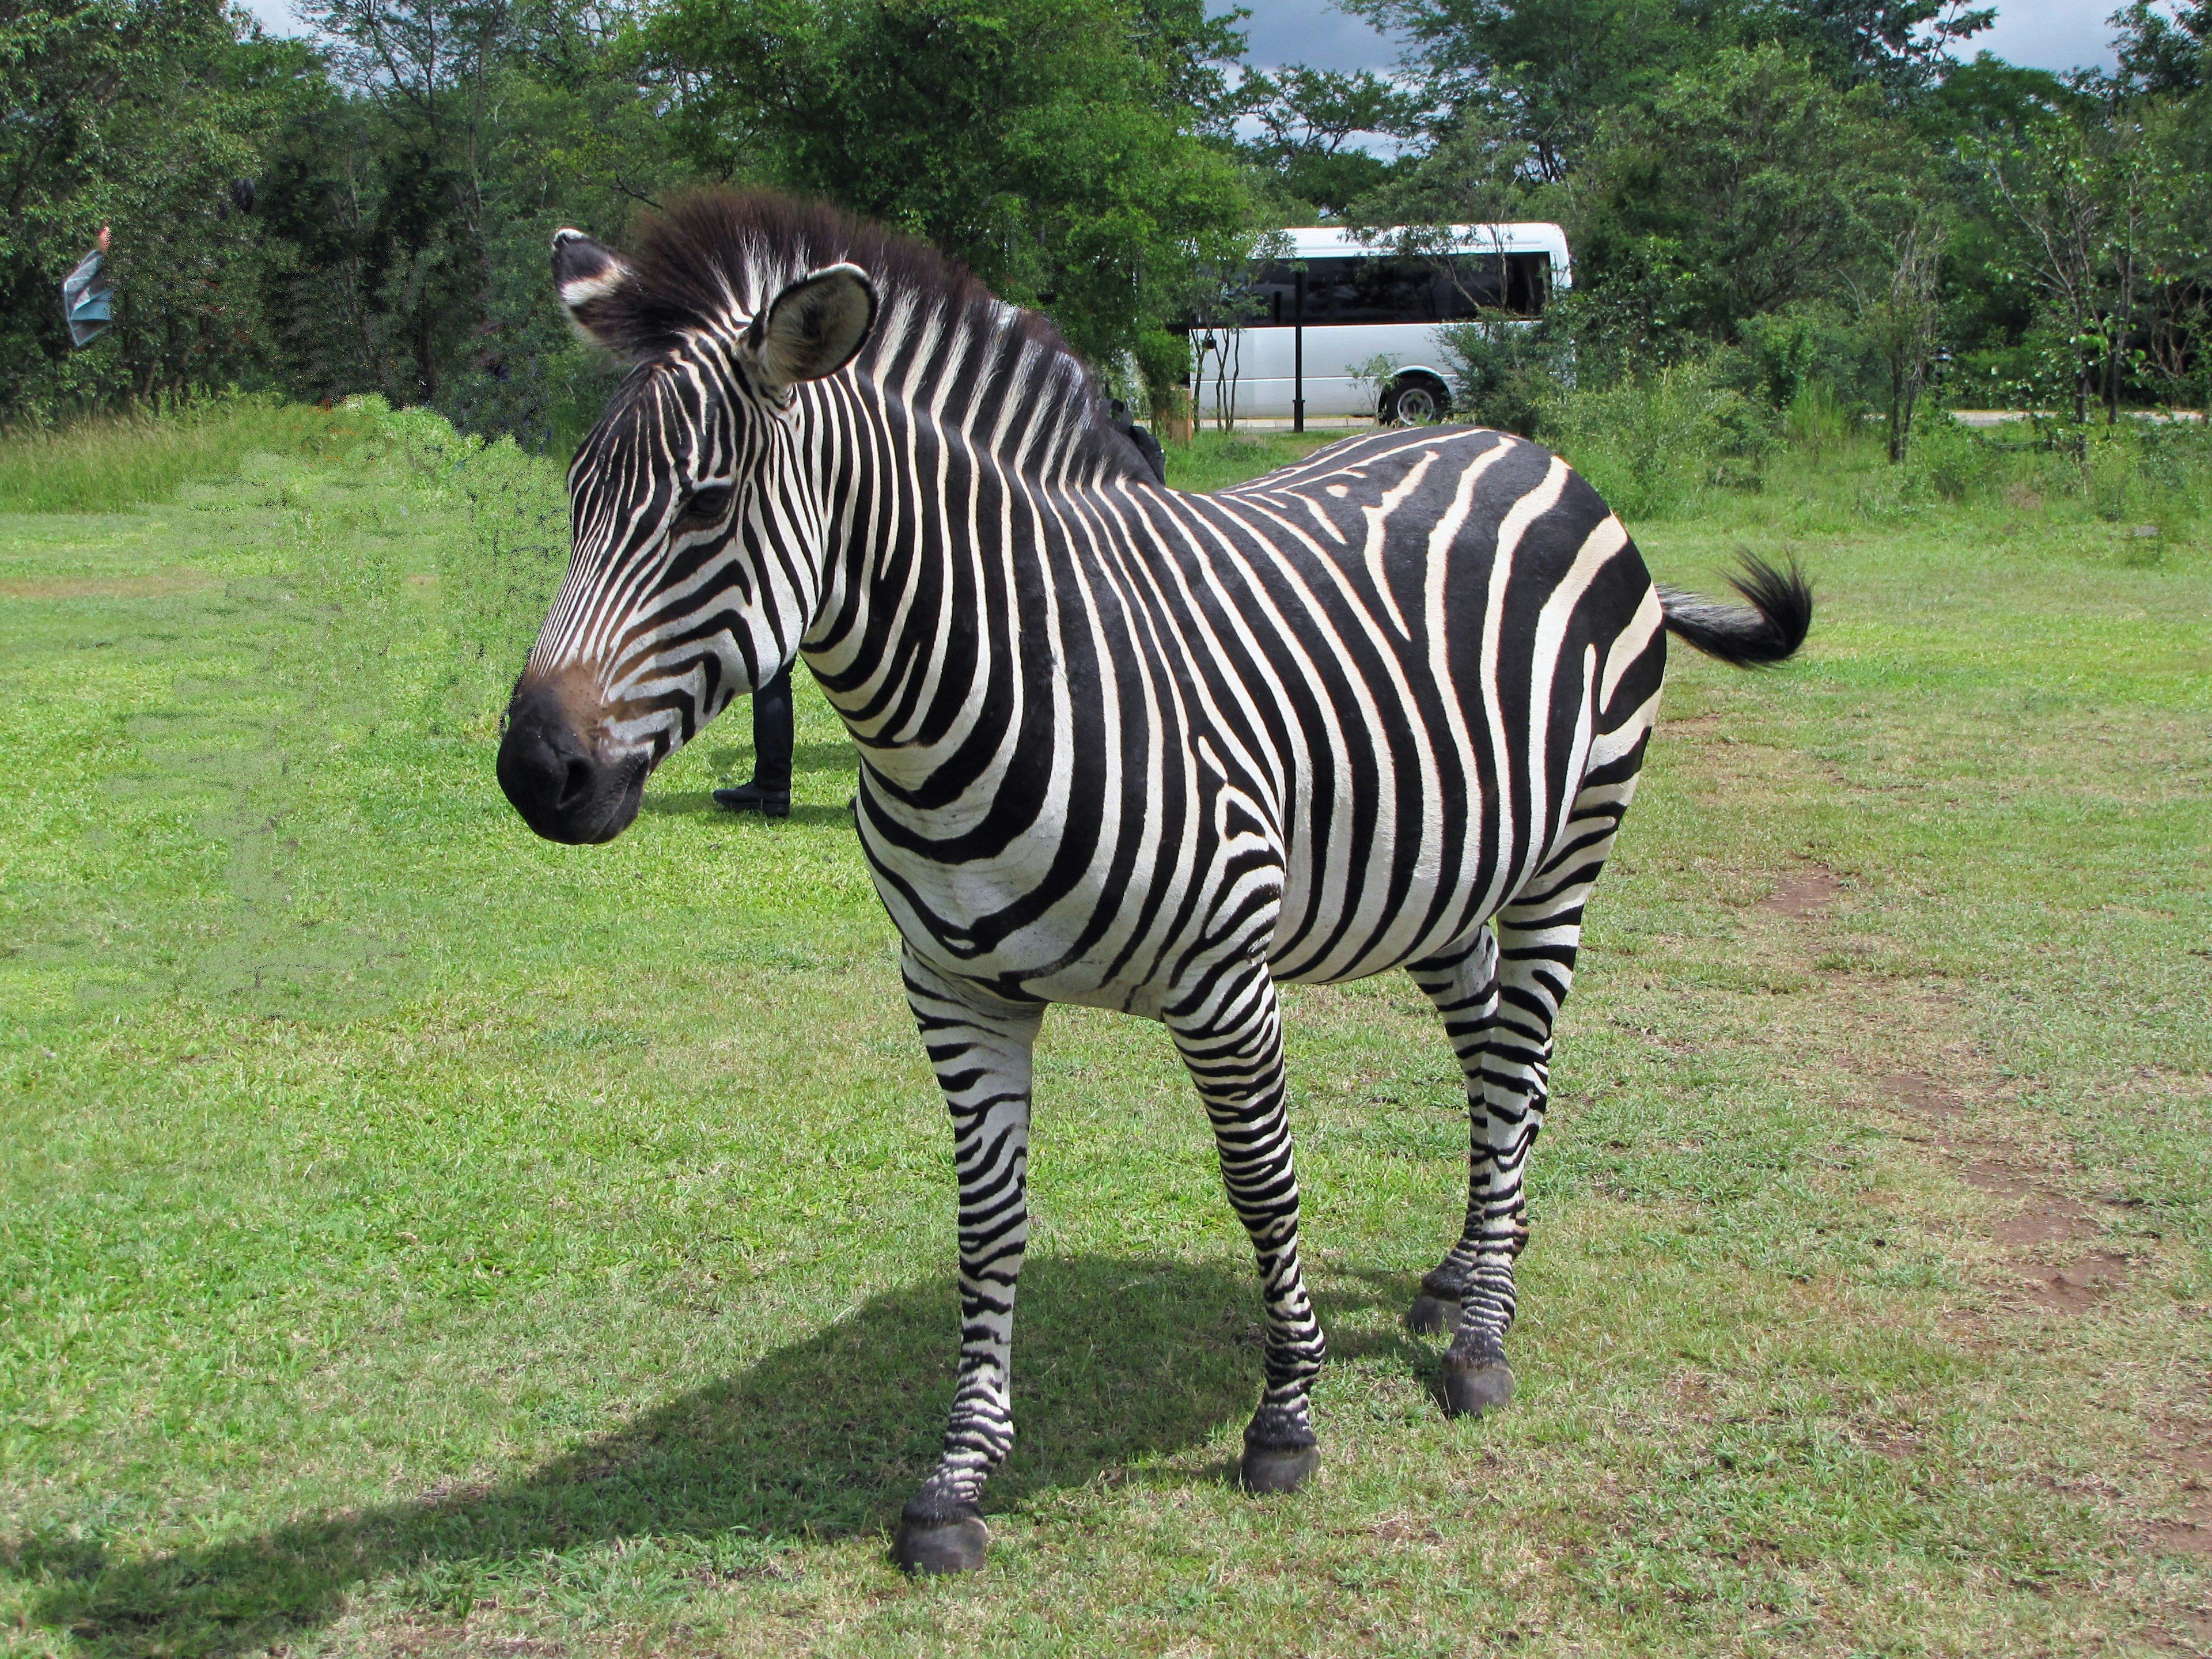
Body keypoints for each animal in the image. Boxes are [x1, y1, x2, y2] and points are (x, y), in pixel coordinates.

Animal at [502, 188, 1813, 1575]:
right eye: (577, 500)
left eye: (705, 508)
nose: (534, 773)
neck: (989, 680)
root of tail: (1529, 450)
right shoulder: (954, 995)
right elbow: (986, 1226)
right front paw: (958, 1478)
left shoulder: (1225, 985)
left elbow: (1263, 1191)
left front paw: (1286, 1422)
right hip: (1446, 873)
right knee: (1489, 1060)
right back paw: (1468, 1268)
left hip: (1573, 848)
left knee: (1521, 1065)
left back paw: (1482, 1340)